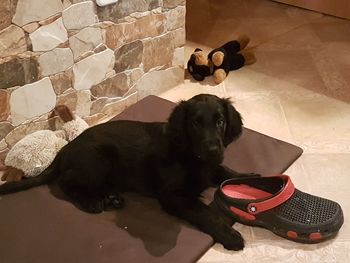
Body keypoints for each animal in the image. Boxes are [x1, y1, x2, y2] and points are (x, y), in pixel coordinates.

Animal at [0, 94, 258, 251]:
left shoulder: (211, 167)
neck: (189, 154)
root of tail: (65, 149)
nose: (214, 149)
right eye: (195, 123)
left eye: (220, 121)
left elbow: (225, 171)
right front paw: (229, 234)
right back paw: (93, 201)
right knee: (65, 181)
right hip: (99, 159)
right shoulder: (174, 195)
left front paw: (251, 179)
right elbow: (204, 212)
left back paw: (111, 197)